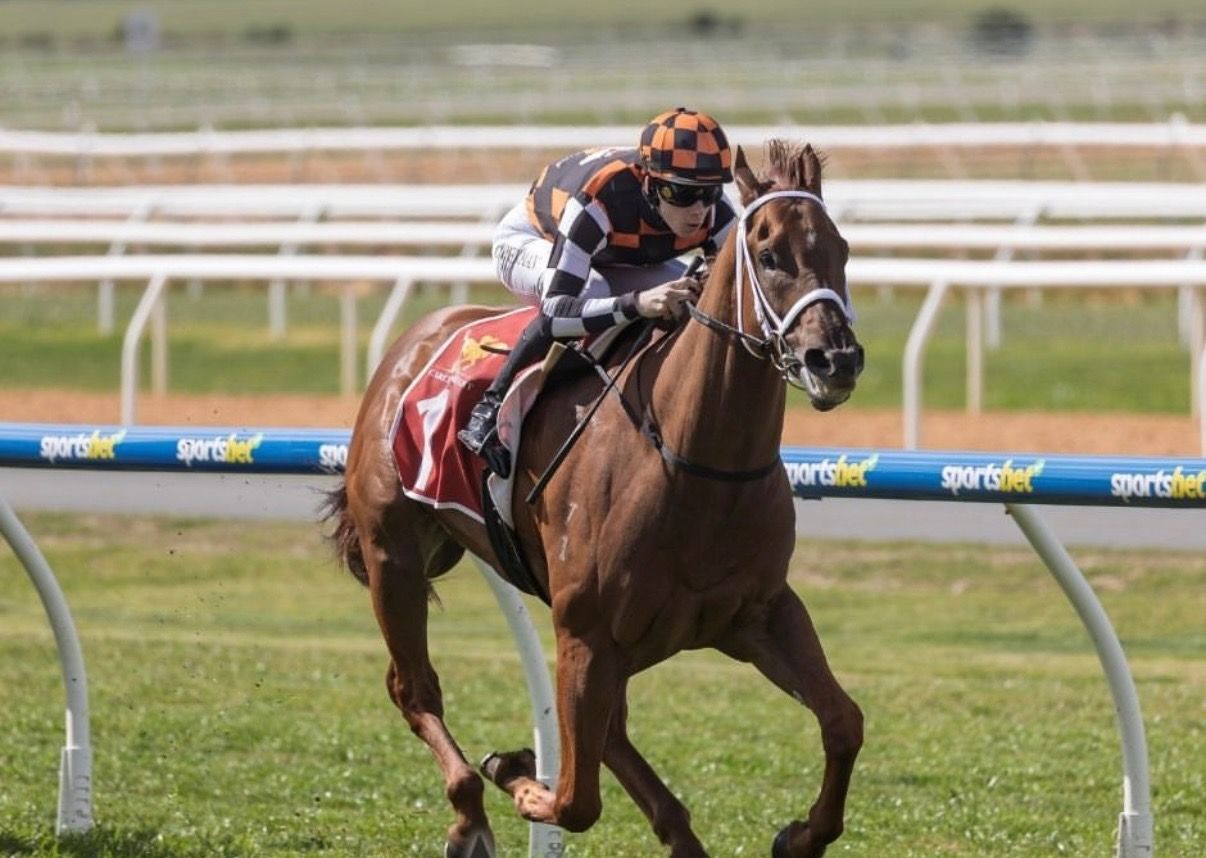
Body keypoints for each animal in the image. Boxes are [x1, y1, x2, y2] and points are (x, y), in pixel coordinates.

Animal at [325, 140, 865, 858]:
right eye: (771, 254)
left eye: (840, 249)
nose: (836, 359)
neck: (695, 463)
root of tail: (415, 342)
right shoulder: (585, 633)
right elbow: (576, 801)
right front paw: (523, 781)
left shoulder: (760, 613)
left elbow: (843, 721)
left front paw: (801, 835)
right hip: (395, 556)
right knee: (414, 690)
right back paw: (471, 811)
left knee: (611, 736)